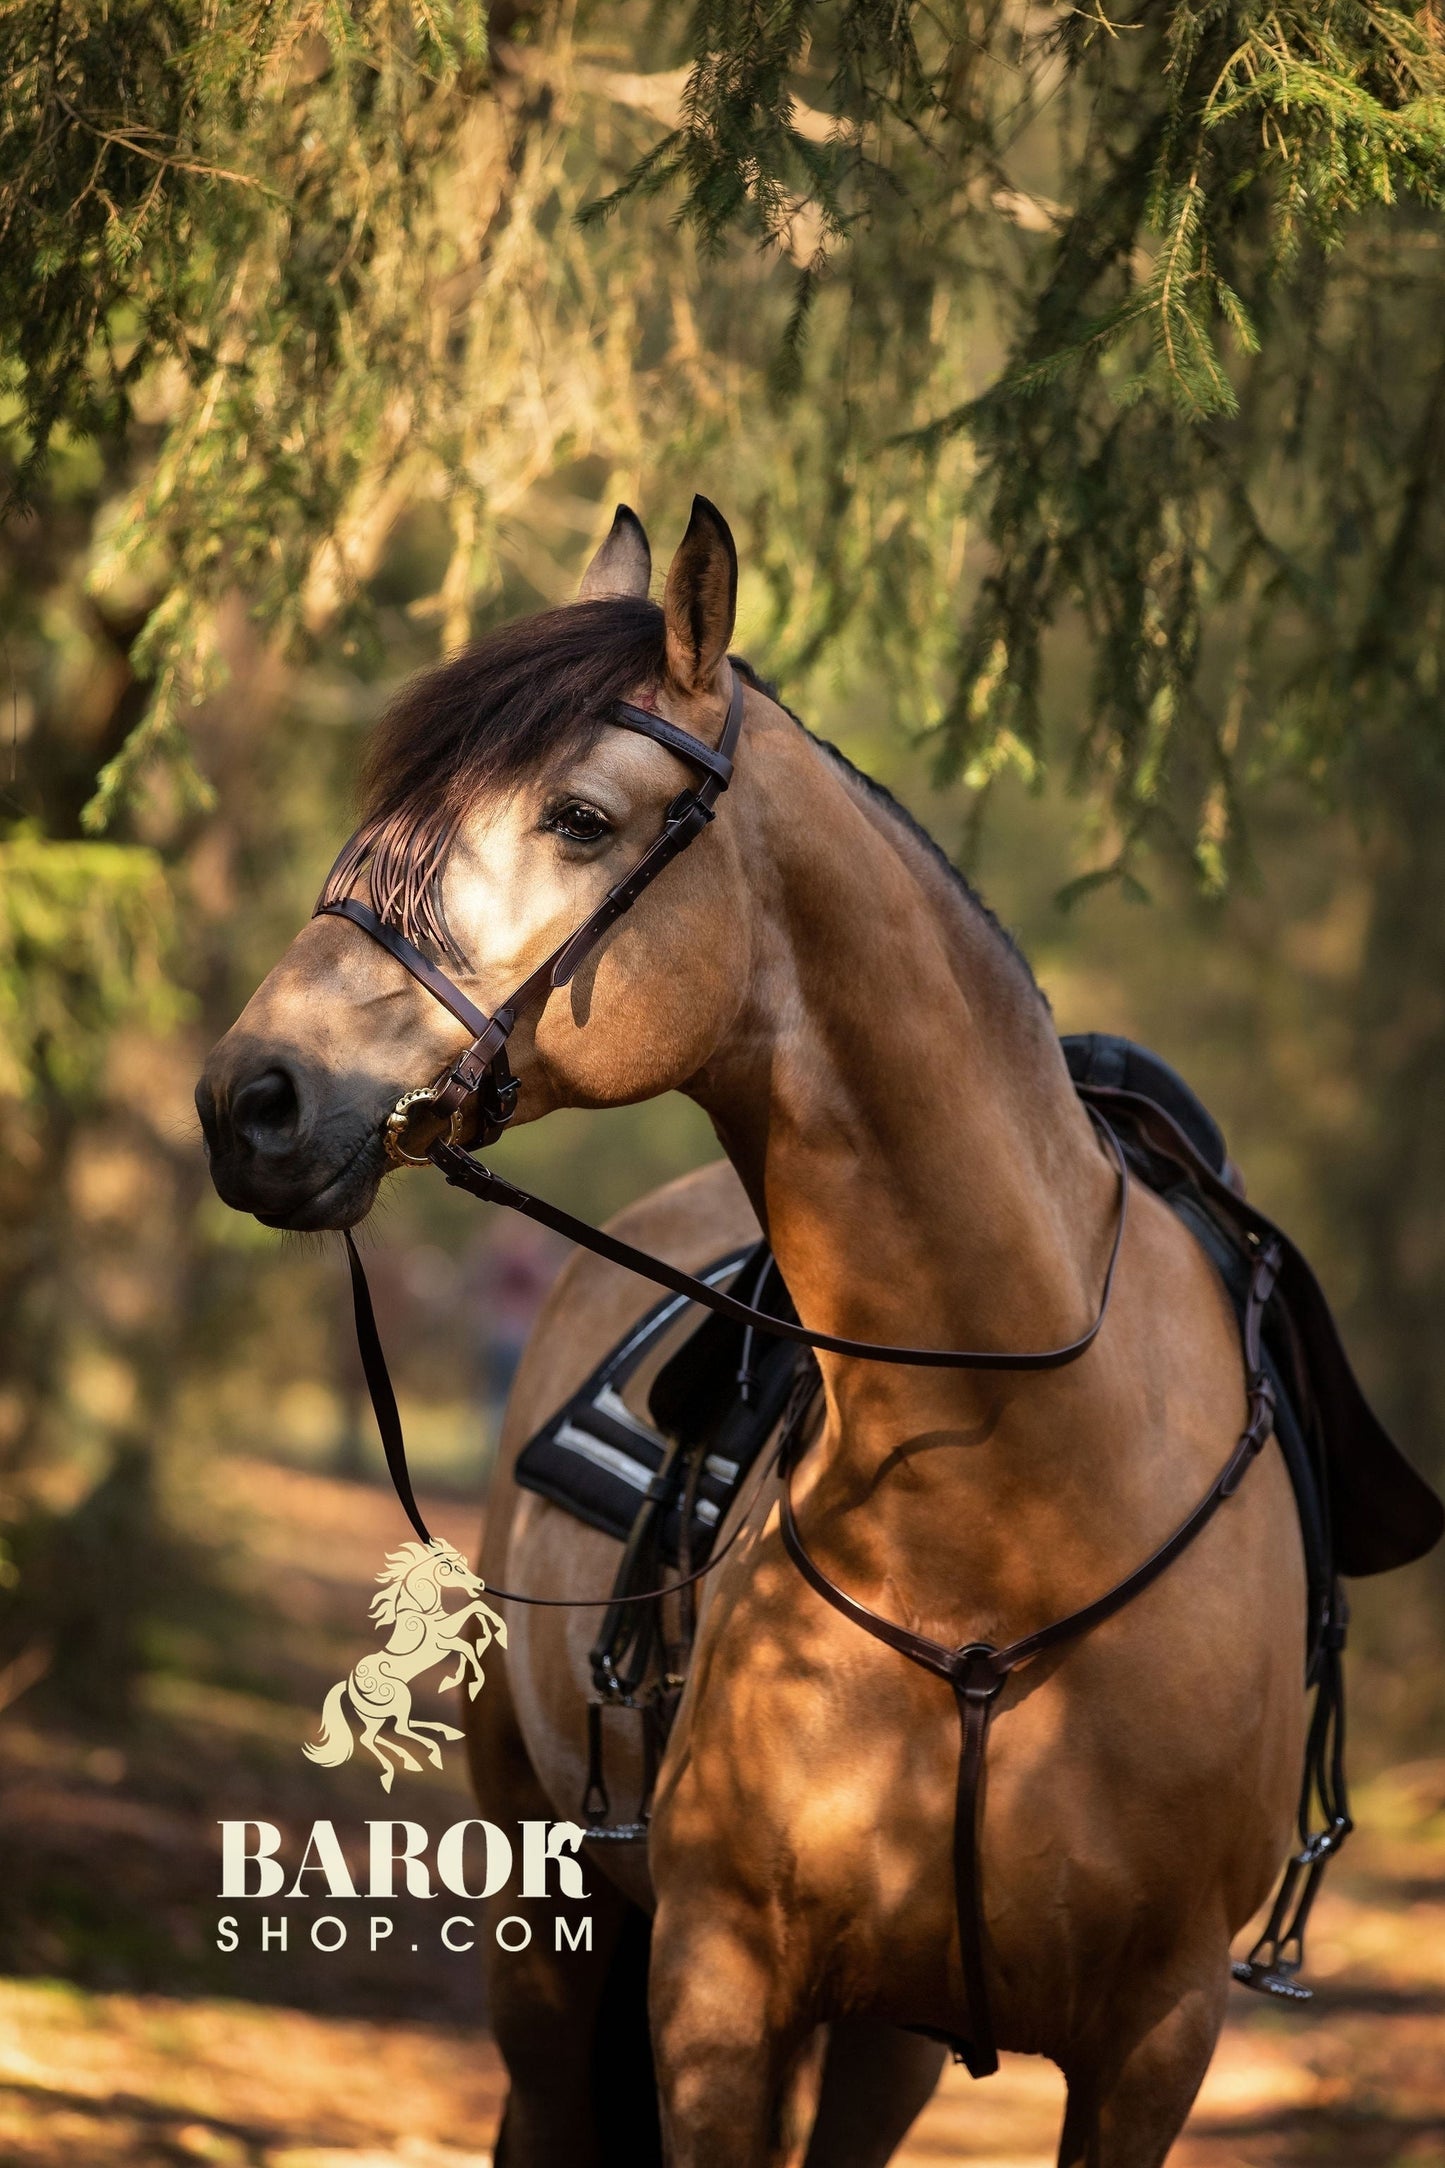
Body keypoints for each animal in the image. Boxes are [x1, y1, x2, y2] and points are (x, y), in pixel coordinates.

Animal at [303, 1534, 509, 1786]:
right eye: (456, 1567)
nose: (480, 1585)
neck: (421, 1610)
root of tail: (348, 1684)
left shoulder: (447, 1640)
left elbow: (471, 1634)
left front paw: (461, 1672)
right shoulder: (442, 1640)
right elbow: (473, 1625)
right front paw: (473, 1680)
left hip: (376, 1715)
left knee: (375, 1736)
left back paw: (421, 1751)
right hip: (399, 1697)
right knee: (397, 1729)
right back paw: (424, 1755)